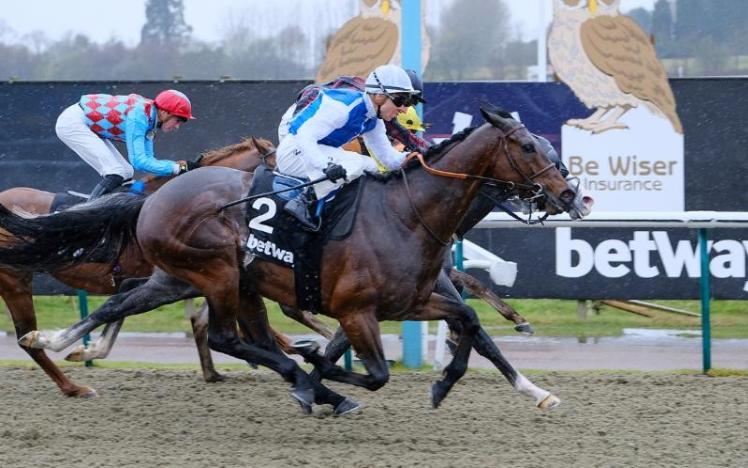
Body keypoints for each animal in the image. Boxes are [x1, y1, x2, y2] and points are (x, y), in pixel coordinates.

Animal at [0, 107, 592, 410]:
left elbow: (470, 322)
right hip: (215, 272)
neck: (407, 212)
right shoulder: (357, 310)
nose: (572, 195)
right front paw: (320, 369)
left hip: (189, 276)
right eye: (531, 147)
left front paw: (466, 383)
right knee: (225, 335)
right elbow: (375, 372)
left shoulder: (416, 299)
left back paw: (58, 342)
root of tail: (153, 198)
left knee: (129, 305)